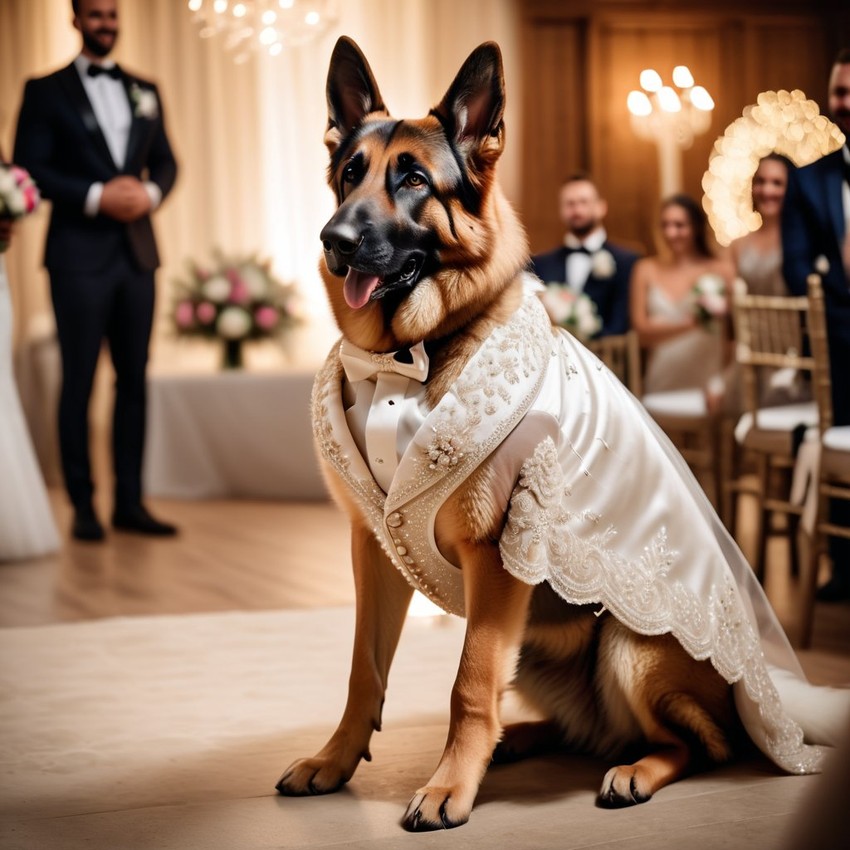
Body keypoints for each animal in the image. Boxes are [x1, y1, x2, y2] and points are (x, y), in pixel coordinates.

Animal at [276, 38, 736, 828]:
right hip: (542, 657)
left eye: (414, 180)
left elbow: (468, 682)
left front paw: (448, 787)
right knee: (585, 730)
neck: (410, 356)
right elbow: (364, 671)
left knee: (695, 747)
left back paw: (633, 770)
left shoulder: (496, 561)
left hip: (631, 648)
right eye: (350, 174)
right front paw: (335, 760)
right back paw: (522, 740)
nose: (334, 239)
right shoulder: (373, 548)